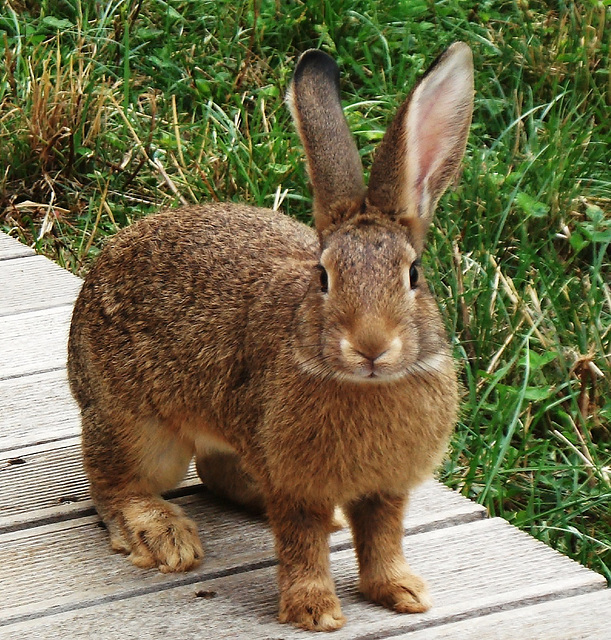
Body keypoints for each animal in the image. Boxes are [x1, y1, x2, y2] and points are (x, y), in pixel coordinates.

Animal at [68, 42, 478, 632]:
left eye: (413, 275)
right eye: (324, 277)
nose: (371, 347)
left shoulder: (385, 488)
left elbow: (382, 537)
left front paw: (401, 592)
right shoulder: (295, 481)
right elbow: (301, 543)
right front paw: (316, 612)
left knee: (216, 472)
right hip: (140, 428)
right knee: (113, 483)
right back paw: (163, 536)